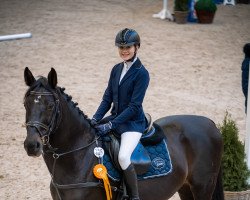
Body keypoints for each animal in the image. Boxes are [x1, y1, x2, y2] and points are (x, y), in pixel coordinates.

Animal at [22, 67, 224, 200]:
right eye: (25, 104)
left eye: (50, 106)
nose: (32, 145)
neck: (78, 157)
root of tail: (210, 123)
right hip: (185, 187)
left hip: (203, 186)